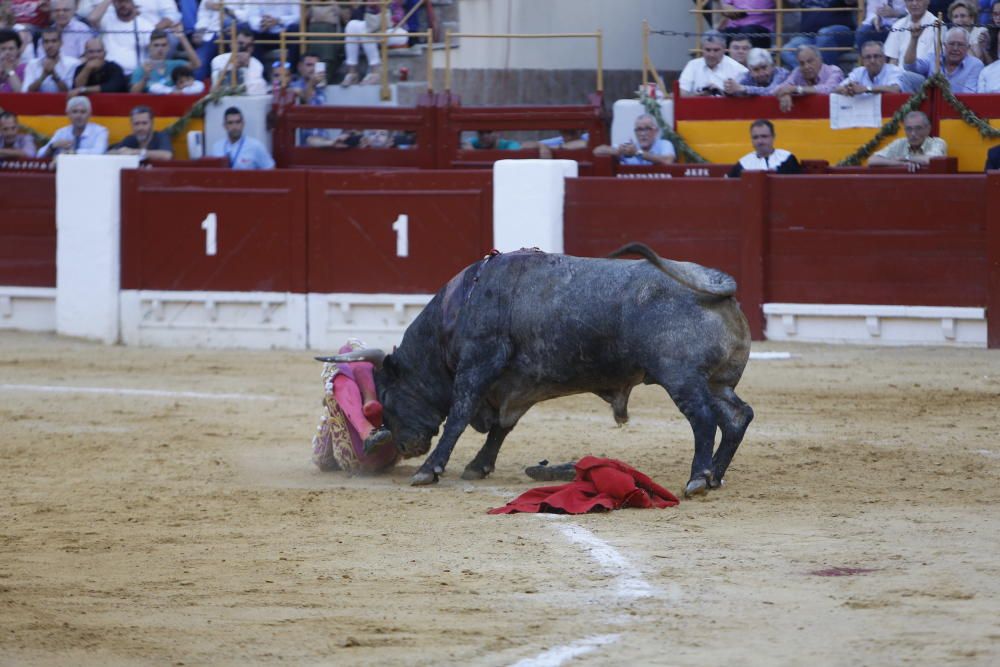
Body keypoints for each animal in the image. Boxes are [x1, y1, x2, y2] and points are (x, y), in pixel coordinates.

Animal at [324, 243, 752, 498]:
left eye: (388, 396)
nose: (404, 446)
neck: (457, 311)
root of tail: (718, 284)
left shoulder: (477, 366)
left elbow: (459, 418)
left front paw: (430, 470)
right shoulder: (517, 386)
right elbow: (501, 428)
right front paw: (477, 467)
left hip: (681, 378)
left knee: (703, 419)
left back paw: (697, 479)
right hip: (716, 382)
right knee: (737, 416)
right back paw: (714, 475)